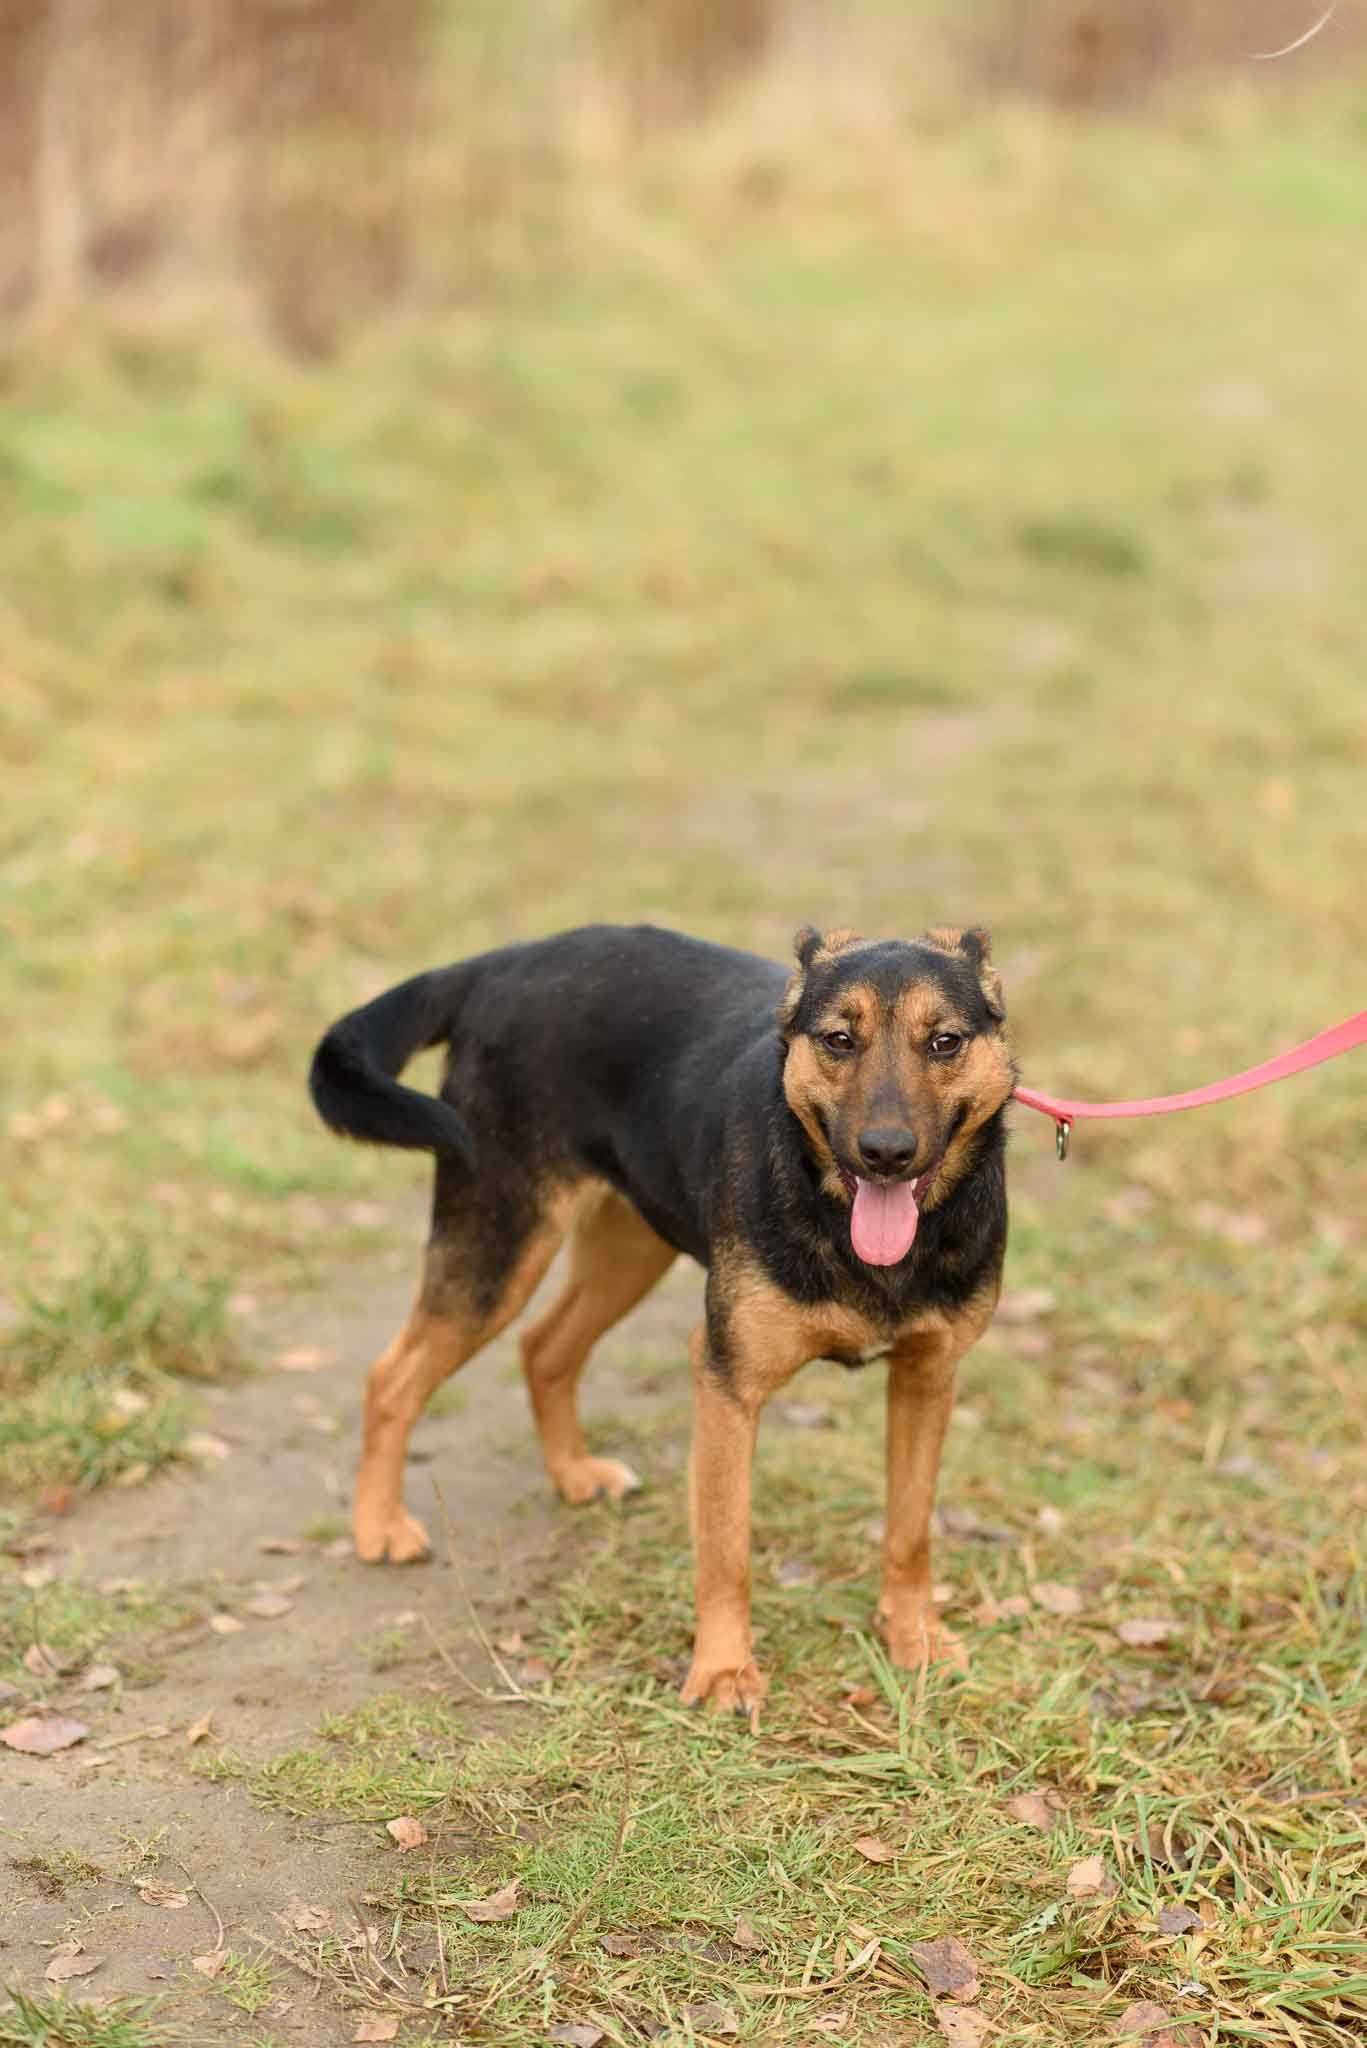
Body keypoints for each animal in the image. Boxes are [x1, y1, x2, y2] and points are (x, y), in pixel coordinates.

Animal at [309, 925, 1016, 1712]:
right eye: (839, 1039)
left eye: (945, 1042)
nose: (886, 1153)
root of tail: (503, 961)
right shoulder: (727, 1383)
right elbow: (725, 1547)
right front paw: (724, 1672)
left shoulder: (927, 1381)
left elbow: (910, 1531)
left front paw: (912, 1639)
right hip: (495, 1251)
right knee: (392, 1377)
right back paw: (378, 1526)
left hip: (627, 1246)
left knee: (544, 1347)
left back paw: (572, 1474)